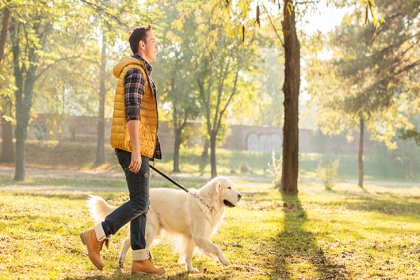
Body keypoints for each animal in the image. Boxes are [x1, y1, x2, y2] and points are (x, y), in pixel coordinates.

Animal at [87, 177, 241, 272]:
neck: (206, 201)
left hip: (152, 231)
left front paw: (190, 269)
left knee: (128, 242)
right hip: (150, 230)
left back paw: (122, 261)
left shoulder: (191, 238)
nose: (240, 195)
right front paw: (225, 261)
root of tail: (136, 200)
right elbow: (216, 248)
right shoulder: (199, 237)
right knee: (133, 244)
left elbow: (189, 255)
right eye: (229, 187)